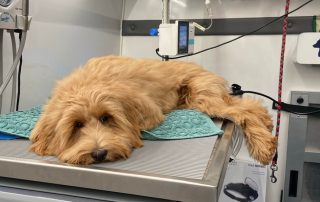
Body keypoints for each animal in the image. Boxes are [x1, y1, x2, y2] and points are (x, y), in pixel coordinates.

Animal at [29, 54, 276, 164]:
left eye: (106, 118)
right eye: (77, 124)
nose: (99, 154)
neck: (89, 85)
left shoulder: (150, 110)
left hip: (203, 98)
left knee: (246, 110)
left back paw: (264, 145)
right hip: (201, 100)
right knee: (250, 106)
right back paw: (267, 128)